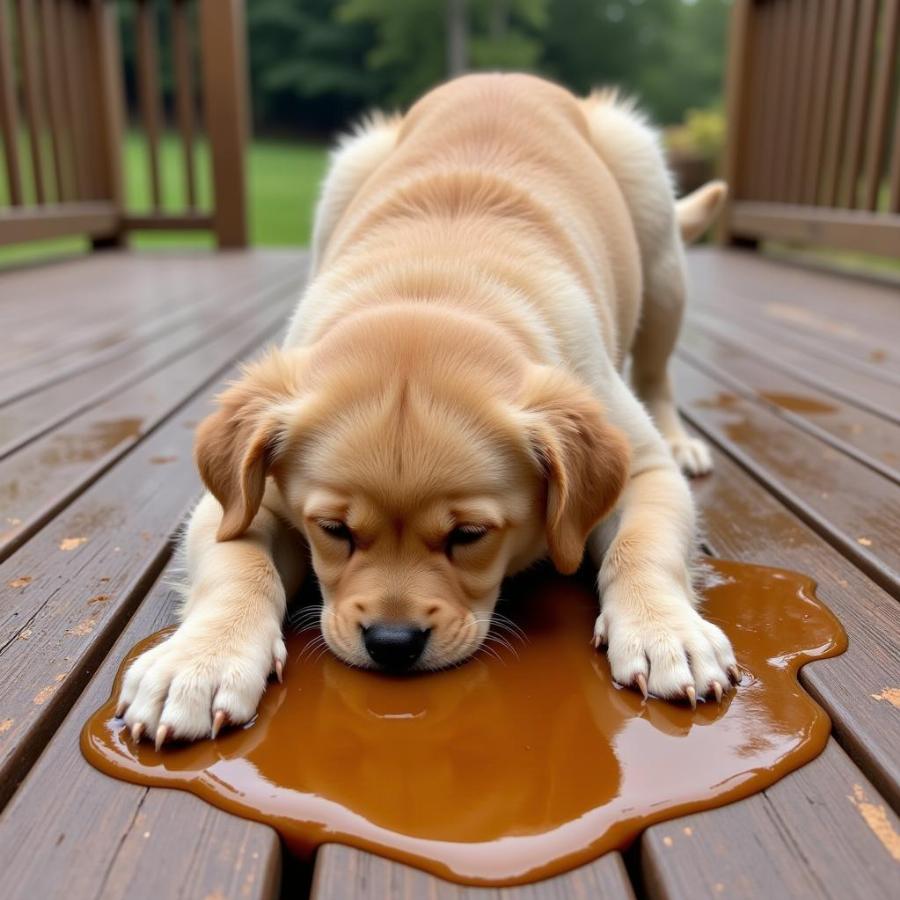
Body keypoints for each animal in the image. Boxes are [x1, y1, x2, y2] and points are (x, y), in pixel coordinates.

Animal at [116, 72, 736, 744]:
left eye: (469, 536)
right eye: (333, 530)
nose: (393, 643)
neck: (434, 284)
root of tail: (503, 75)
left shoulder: (644, 470)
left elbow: (641, 543)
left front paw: (665, 631)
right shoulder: (234, 501)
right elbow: (237, 563)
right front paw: (198, 661)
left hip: (657, 233)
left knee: (656, 369)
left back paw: (680, 436)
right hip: (345, 175)